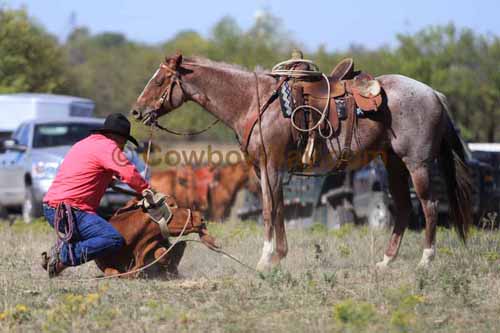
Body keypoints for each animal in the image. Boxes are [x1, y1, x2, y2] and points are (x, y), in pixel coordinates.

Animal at [130, 52, 472, 270]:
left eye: (159, 81)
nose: (136, 110)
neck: (254, 102)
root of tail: (433, 93)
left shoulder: (271, 166)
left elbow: (269, 210)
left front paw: (266, 258)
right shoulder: (265, 170)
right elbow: (278, 209)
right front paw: (278, 255)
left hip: (417, 163)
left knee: (428, 206)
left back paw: (426, 260)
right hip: (394, 164)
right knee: (402, 208)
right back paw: (386, 261)